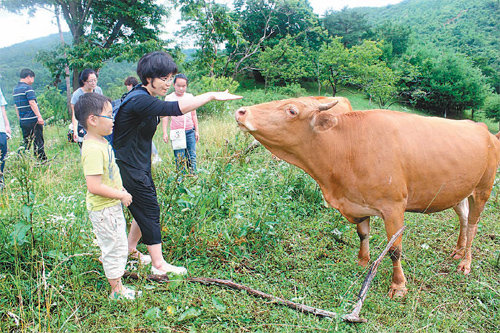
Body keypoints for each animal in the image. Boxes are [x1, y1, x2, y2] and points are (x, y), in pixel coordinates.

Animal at [234, 96, 500, 296]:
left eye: (291, 110)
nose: (241, 112)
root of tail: (483, 129)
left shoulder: (394, 207)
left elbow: (395, 249)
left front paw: (398, 285)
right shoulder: (356, 204)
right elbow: (362, 234)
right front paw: (362, 262)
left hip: (483, 188)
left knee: (474, 224)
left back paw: (465, 262)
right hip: (459, 191)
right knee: (463, 217)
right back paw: (458, 250)